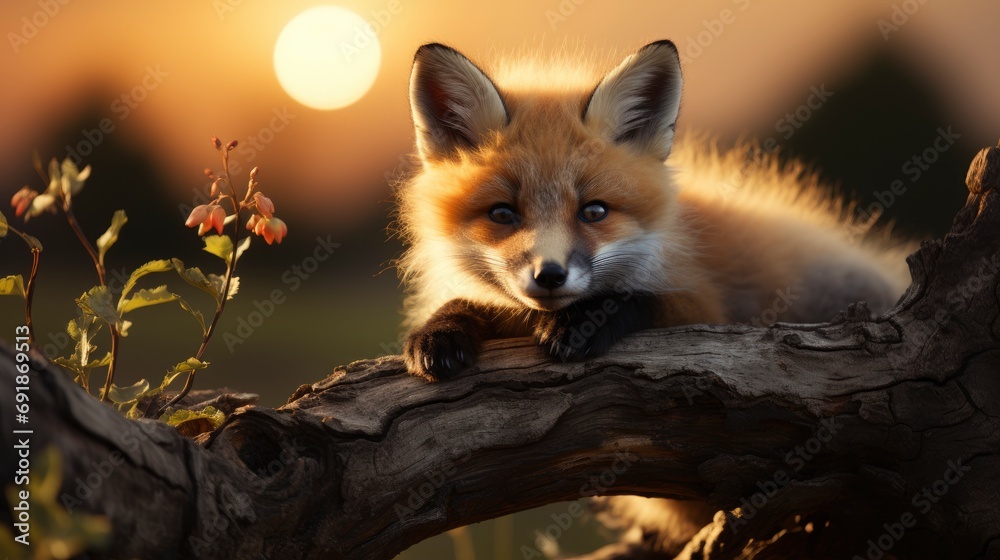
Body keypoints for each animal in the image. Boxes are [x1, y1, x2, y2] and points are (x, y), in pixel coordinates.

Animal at [394, 40, 915, 553]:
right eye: (503, 214)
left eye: (594, 211)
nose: (550, 275)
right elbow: (470, 305)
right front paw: (439, 333)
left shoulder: (711, 317)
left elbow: (642, 299)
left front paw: (584, 321)